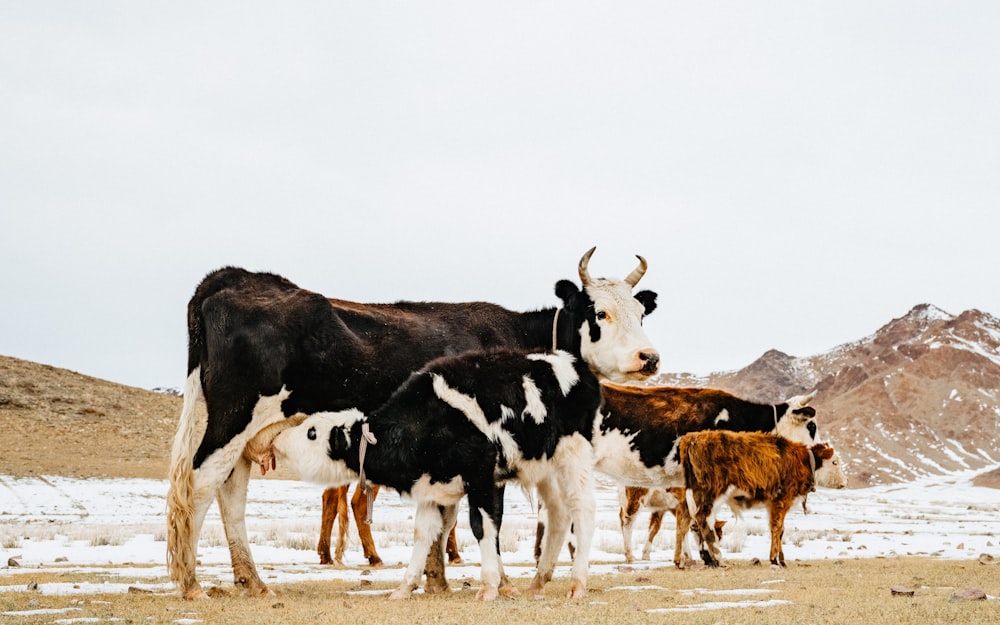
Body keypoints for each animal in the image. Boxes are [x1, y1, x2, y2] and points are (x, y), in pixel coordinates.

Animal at [260, 348, 600, 604]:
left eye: (312, 432)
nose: (277, 440)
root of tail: (578, 368)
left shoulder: (483, 478)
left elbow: (483, 527)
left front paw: (490, 586)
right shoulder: (431, 490)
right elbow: (423, 533)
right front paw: (404, 587)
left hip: (575, 457)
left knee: (582, 510)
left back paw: (578, 583)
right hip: (547, 468)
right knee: (558, 514)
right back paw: (539, 581)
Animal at [680, 432, 844, 568]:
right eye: (835, 462)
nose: (845, 482)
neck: (803, 461)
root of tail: (692, 438)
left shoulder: (772, 505)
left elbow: (779, 530)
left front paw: (781, 560)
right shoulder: (782, 500)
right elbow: (777, 528)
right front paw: (774, 559)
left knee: (691, 523)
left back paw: (701, 558)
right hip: (711, 494)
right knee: (703, 520)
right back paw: (717, 559)